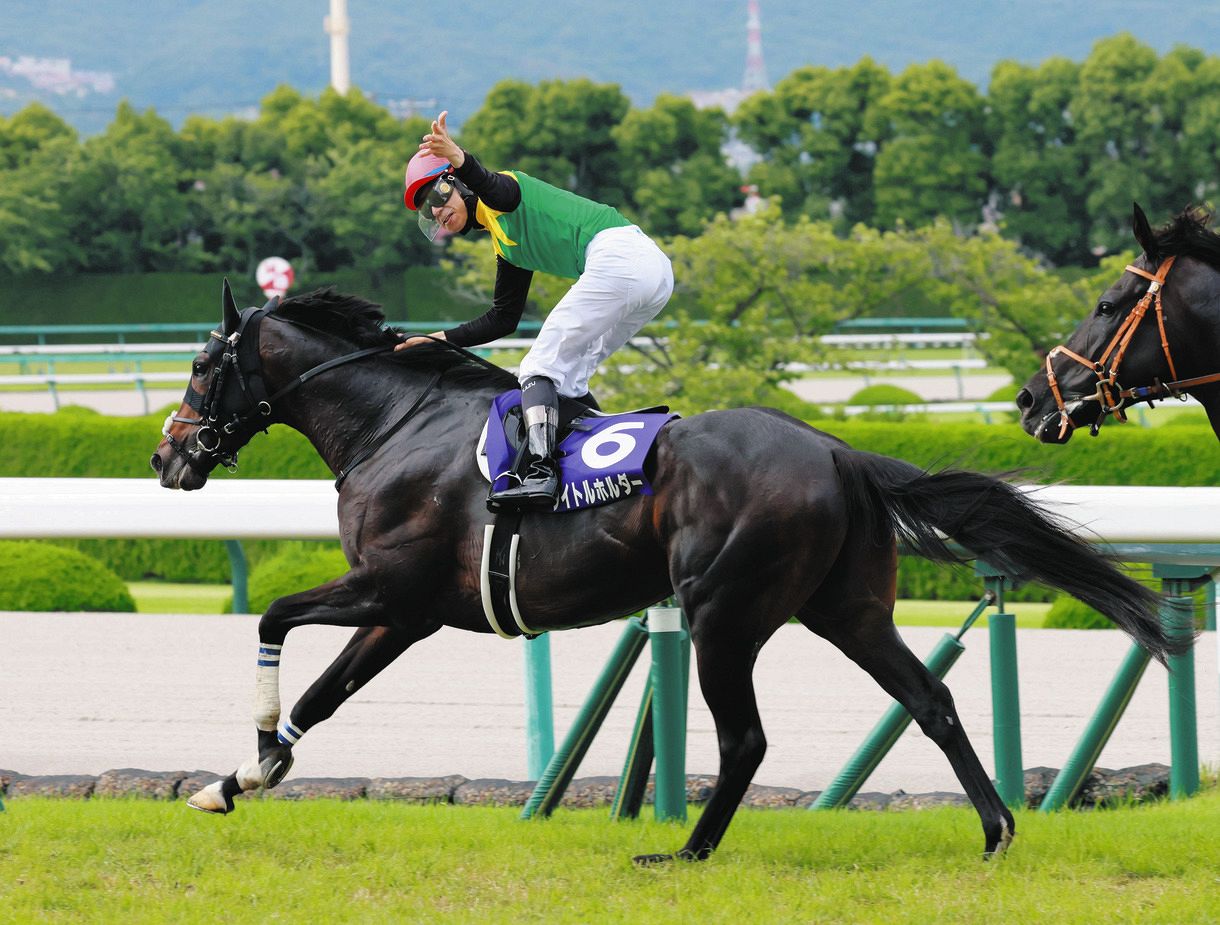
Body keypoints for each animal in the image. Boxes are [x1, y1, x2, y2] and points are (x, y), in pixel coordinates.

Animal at [151, 281, 1180, 865]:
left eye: (201, 366)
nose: (168, 456)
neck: (395, 423)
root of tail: (837, 448)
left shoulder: (390, 590)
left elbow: (273, 619)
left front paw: (254, 754)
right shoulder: (408, 610)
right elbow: (323, 694)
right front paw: (239, 777)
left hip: (723, 608)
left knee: (747, 739)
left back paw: (686, 848)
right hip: (848, 608)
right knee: (930, 698)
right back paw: (996, 829)